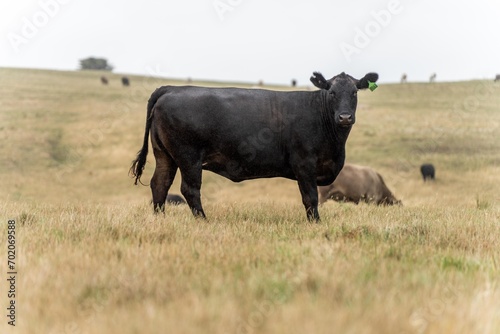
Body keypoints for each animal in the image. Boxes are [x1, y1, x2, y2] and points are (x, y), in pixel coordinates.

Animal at [129, 70, 378, 222]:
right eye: (332, 92)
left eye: (354, 92)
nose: (344, 117)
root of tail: (171, 88)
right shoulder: (304, 163)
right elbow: (310, 197)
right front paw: (316, 224)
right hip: (188, 157)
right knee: (189, 189)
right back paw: (204, 221)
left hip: (164, 155)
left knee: (159, 183)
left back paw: (159, 218)